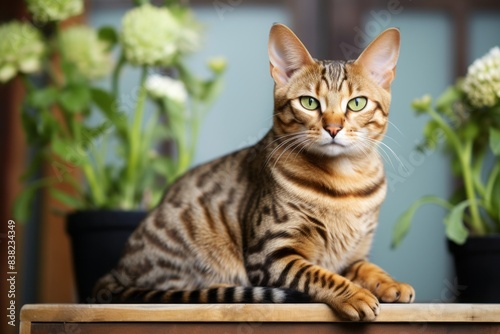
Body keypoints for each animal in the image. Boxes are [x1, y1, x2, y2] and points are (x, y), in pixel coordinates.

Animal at [94, 22, 414, 320]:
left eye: (357, 103)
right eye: (309, 102)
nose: (333, 127)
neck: (345, 182)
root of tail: (114, 271)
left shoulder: (353, 254)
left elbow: (368, 267)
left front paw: (390, 283)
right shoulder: (272, 253)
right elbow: (320, 275)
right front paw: (354, 294)